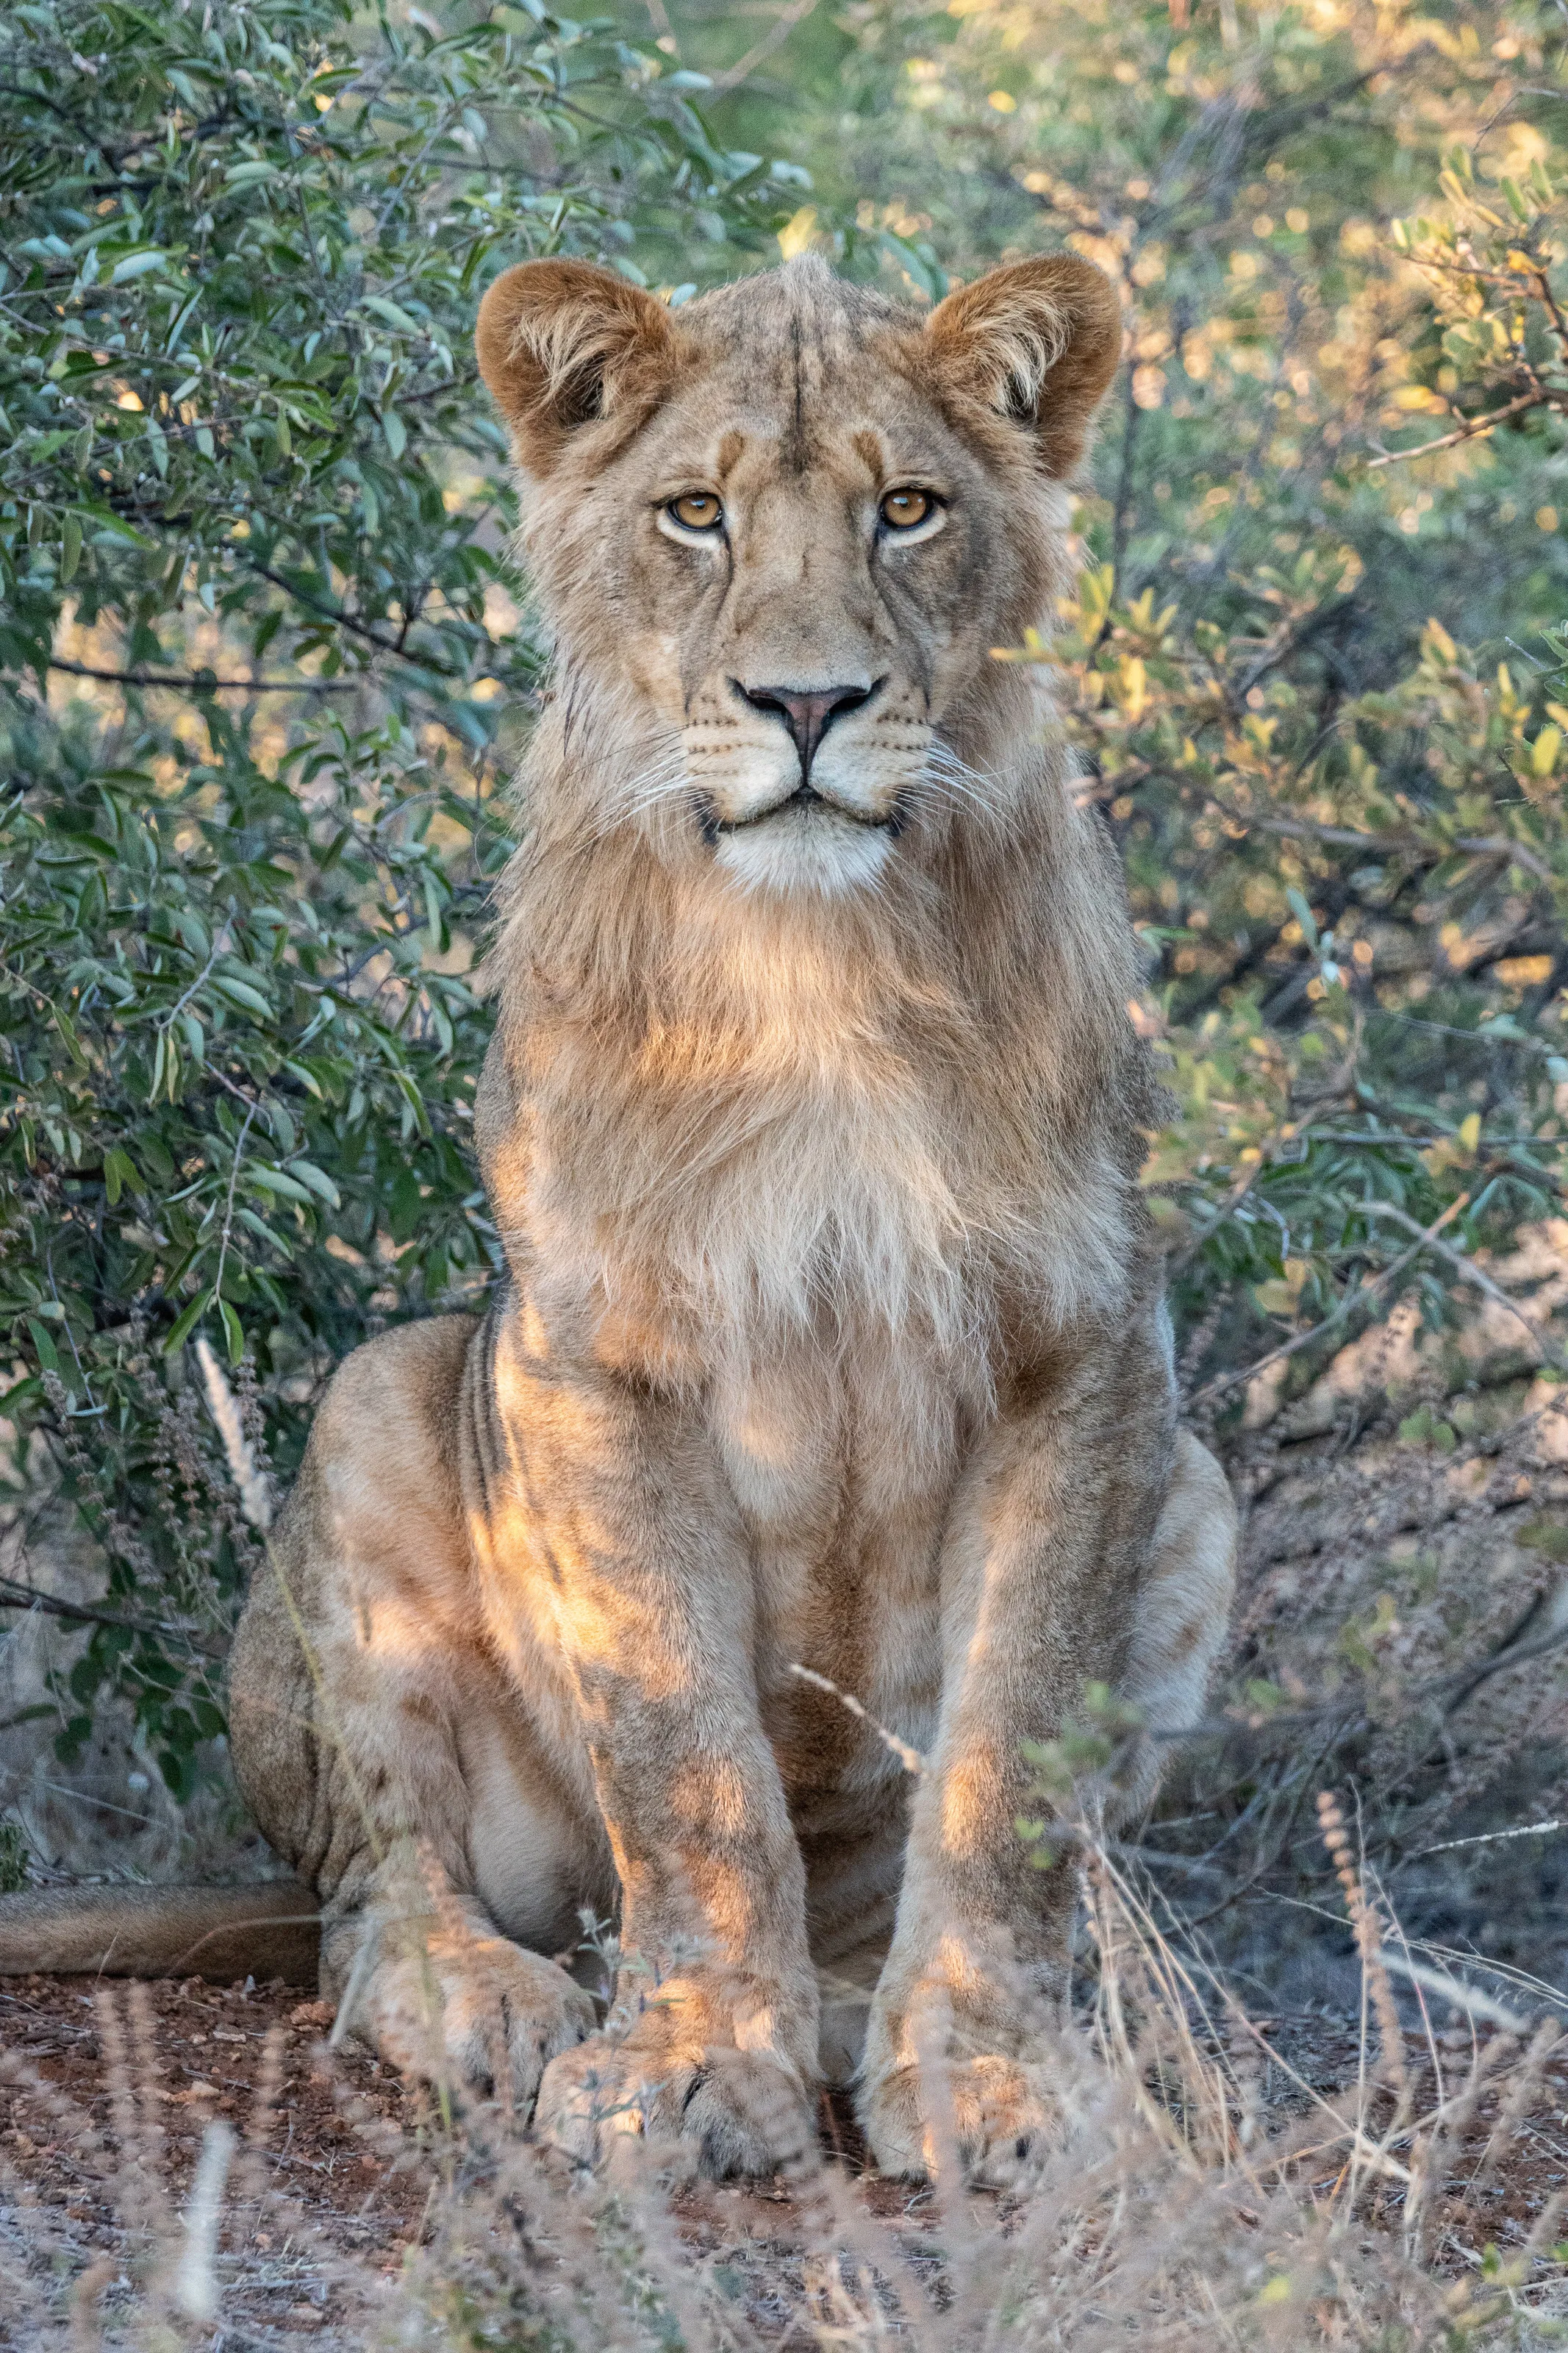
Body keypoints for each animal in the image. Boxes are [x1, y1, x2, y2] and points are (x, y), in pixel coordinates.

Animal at [0, 251, 1236, 2183]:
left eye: (906, 508)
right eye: (694, 514)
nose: (806, 703)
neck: (815, 965)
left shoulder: (1089, 1349)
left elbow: (1011, 1754)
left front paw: (986, 2071)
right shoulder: (592, 1348)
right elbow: (688, 1756)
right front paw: (688, 2061)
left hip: (1198, 1495)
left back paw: (845, 2005)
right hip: (390, 1393)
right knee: (371, 1902)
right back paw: (498, 1999)